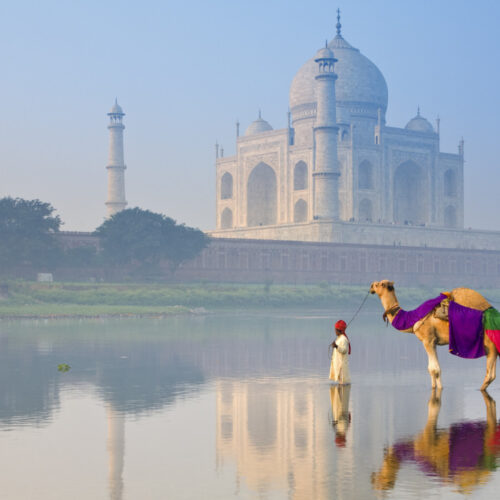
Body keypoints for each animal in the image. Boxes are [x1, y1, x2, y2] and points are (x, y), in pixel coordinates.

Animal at [370, 282, 498, 390]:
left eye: (377, 284)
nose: (371, 287)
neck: (413, 319)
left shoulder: (428, 339)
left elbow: (434, 369)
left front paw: (439, 389)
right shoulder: (434, 342)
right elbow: (432, 369)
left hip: (489, 344)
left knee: (490, 374)